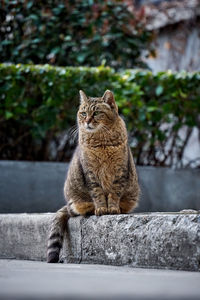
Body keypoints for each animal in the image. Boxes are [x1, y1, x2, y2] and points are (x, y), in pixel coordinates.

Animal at [47, 89, 140, 262]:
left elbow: (114, 194)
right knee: (77, 210)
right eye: (83, 113)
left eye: (96, 113)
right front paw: (102, 208)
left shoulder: (119, 171)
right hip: (76, 200)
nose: (87, 121)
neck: (101, 142)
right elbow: (98, 194)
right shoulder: (90, 173)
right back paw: (91, 209)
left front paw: (113, 208)